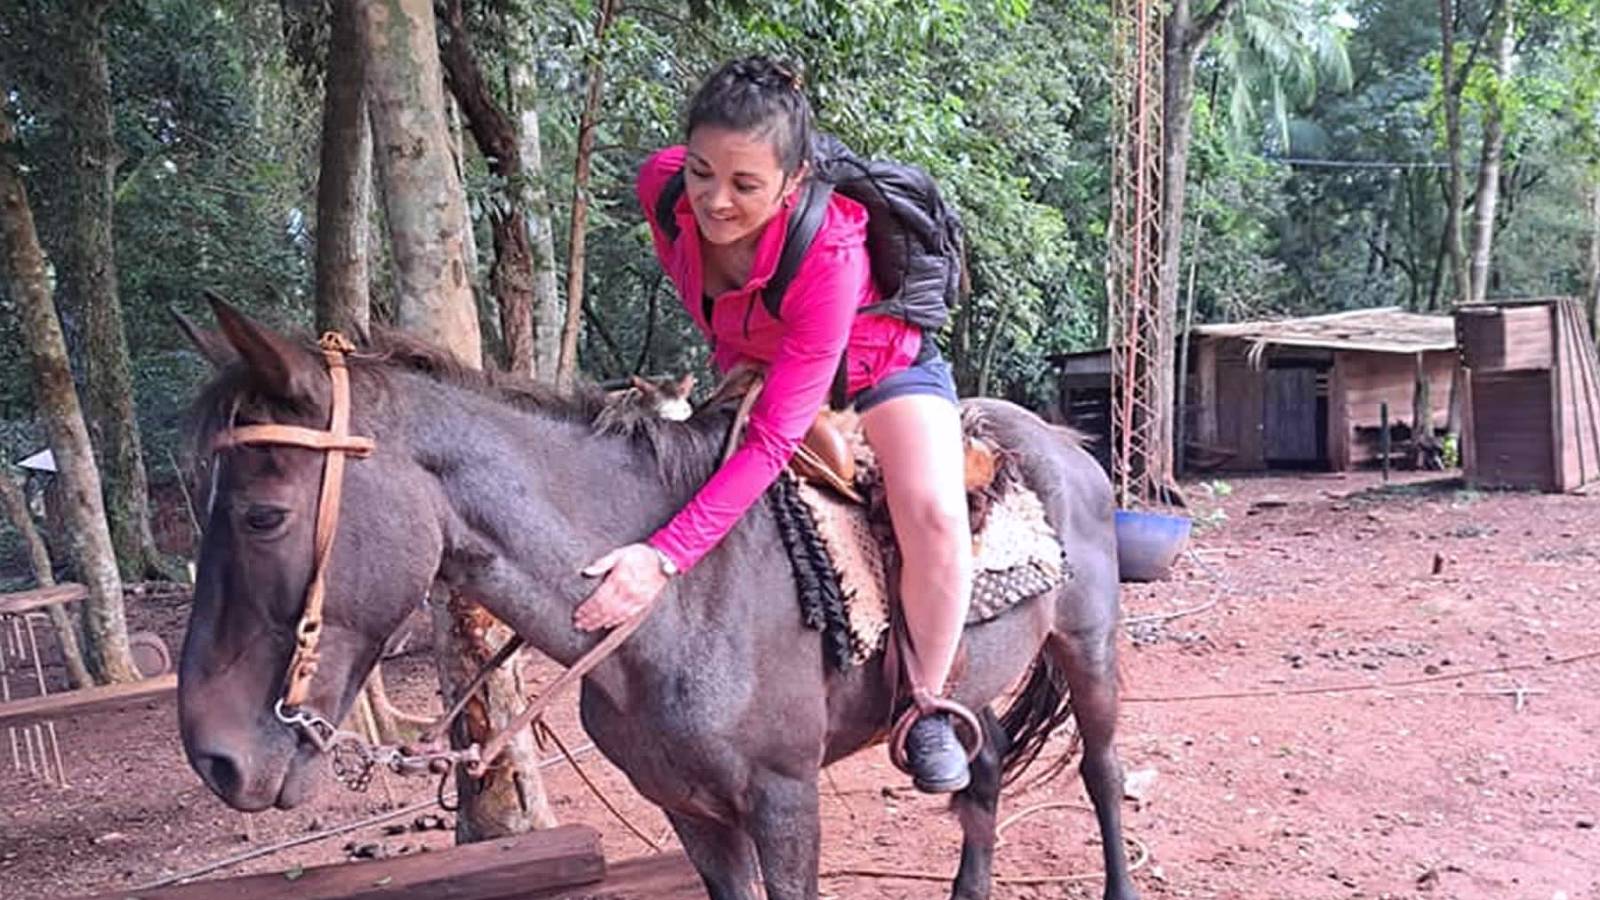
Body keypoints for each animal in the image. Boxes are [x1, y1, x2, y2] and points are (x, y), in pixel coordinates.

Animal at [174, 298, 1138, 900]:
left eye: (262, 515)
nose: (214, 758)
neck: (670, 612)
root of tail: (1060, 437)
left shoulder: (785, 801)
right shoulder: (689, 812)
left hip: (1088, 647)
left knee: (1099, 770)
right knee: (984, 765)